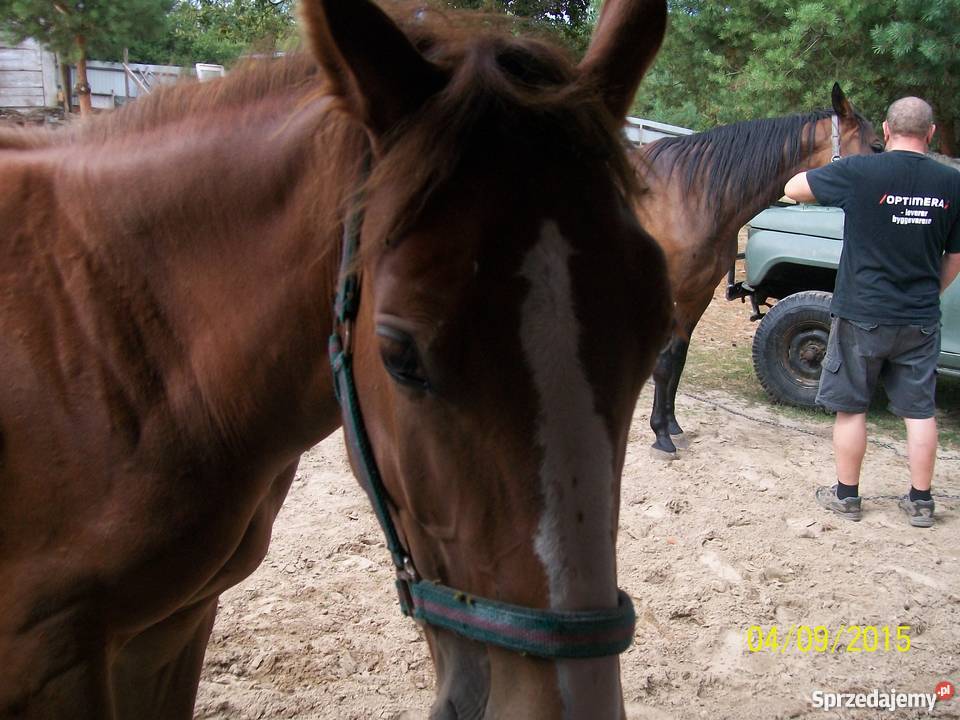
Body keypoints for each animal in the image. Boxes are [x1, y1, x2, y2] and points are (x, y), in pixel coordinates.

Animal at [632, 84, 884, 456]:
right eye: (877, 146)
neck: (688, 196)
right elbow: (663, 363)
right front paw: (661, 435)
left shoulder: (698, 295)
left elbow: (677, 358)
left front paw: (672, 425)